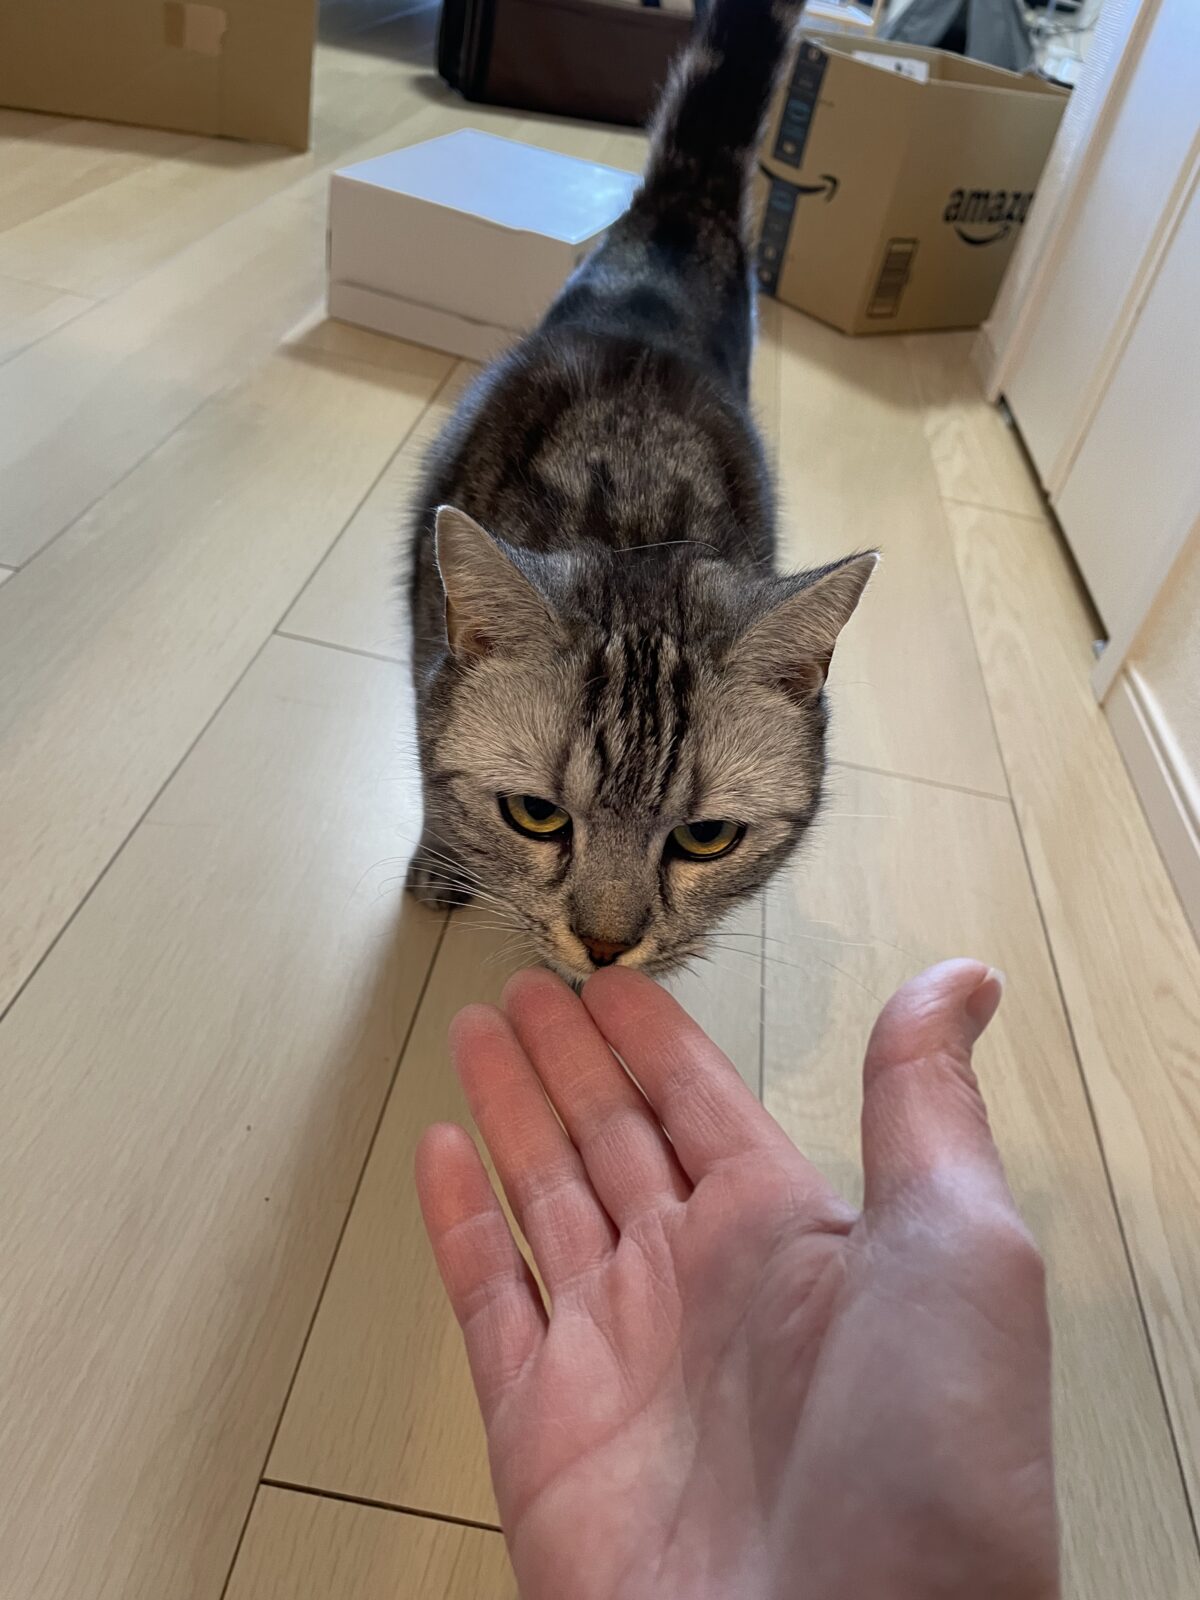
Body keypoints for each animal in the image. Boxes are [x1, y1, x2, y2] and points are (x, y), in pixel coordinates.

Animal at [406, 0, 876, 984]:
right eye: (535, 816)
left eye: (707, 838)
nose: (606, 948)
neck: (633, 521)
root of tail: (684, 202)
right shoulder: (422, 630)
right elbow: (431, 760)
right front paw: (443, 857)